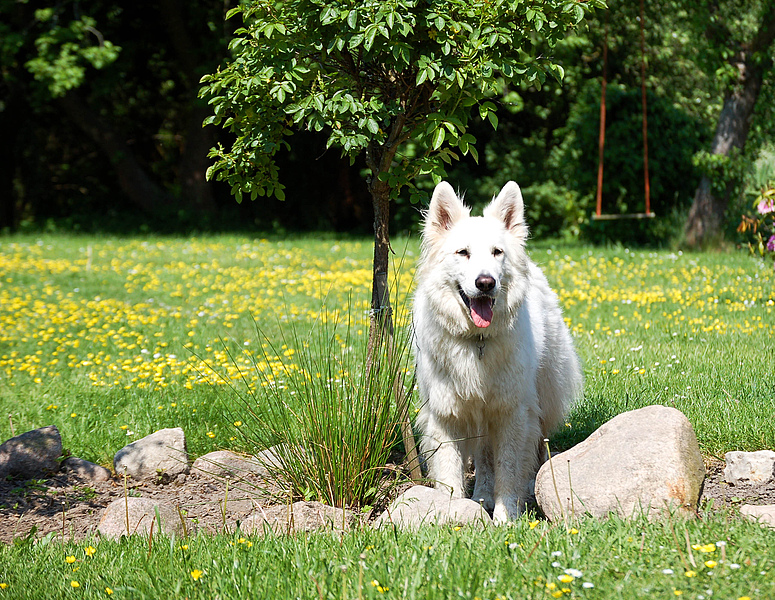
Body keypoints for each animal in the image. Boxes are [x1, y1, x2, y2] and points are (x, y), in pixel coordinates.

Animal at [416, 180, 580, 524]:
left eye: (497, 252)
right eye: (462, 253)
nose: (486, 283)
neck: (477, 340)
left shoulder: (511, 412)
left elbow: (509, 467)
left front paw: (506, 518)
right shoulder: (446, 414)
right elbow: (451, 471)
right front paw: (454, 514)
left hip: (537, 400)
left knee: (532, 448)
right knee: (483, 457)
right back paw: (481, 497)